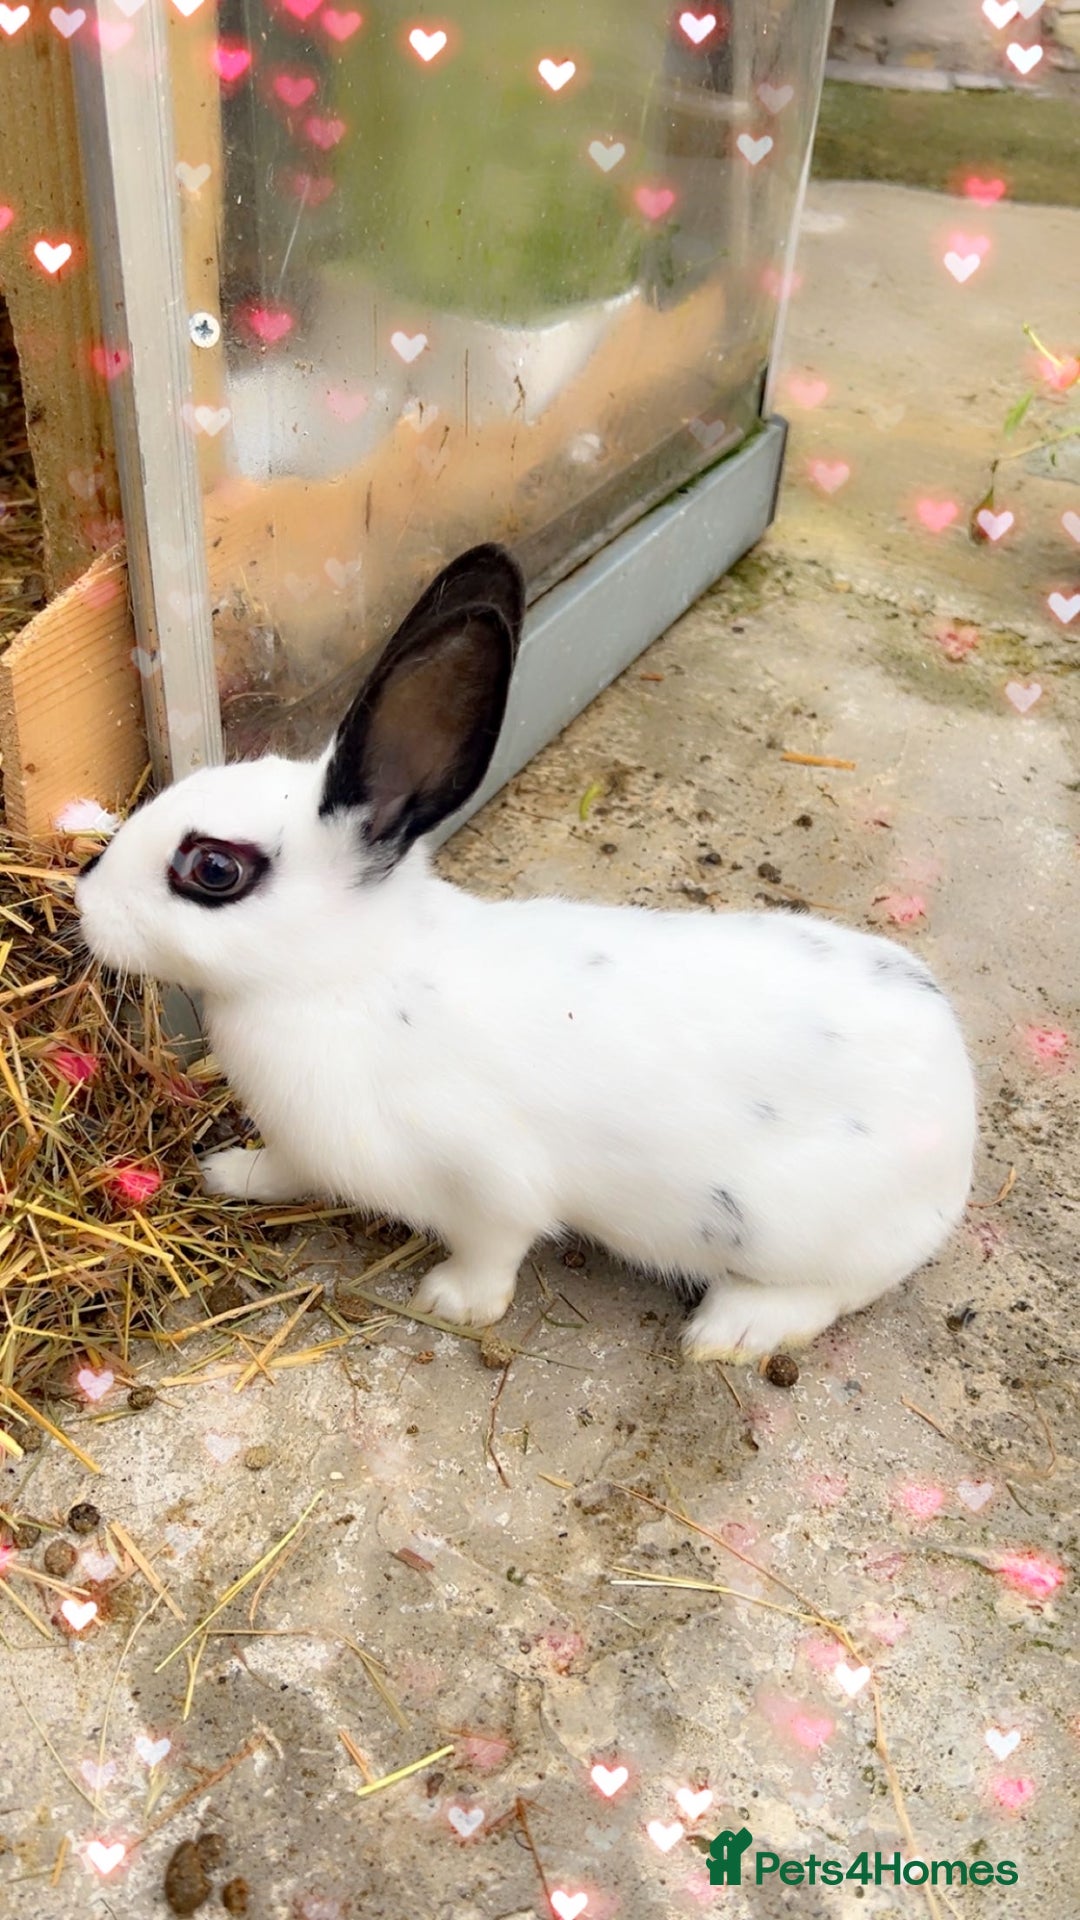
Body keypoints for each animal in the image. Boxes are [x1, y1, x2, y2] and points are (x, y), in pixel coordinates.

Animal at [77, 544, 977, 1361]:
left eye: (213, 870)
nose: (84, 901)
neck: (347, 978)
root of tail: (957, 1097)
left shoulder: (489, 1181)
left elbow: (493, 1247)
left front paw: (451, 1300)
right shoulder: (308, 1146)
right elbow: (288, 1170)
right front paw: (228, 1172)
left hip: (801, 1233)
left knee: (832, 1290)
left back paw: (729, 1332)